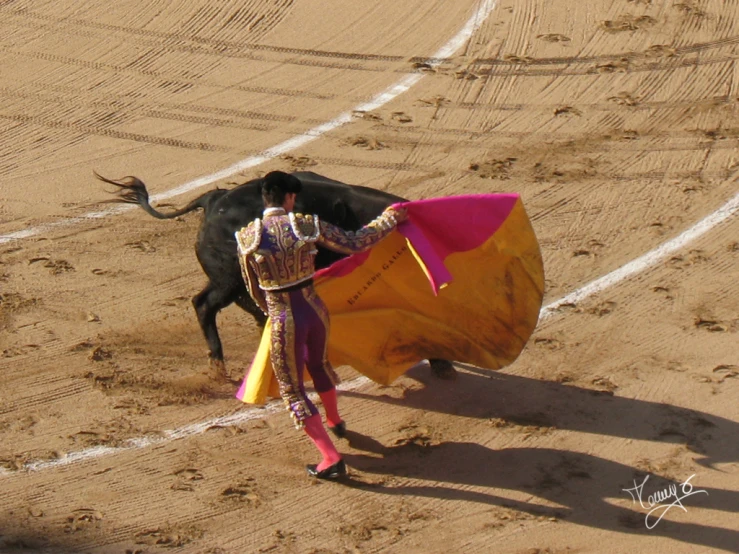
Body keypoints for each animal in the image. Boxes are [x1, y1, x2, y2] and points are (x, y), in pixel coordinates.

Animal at [98, 170, 456, 380]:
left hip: (229, 280)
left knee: (229, 306)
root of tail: (213, 199)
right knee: (205, 305)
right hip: (229, 279)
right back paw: (219, 365)